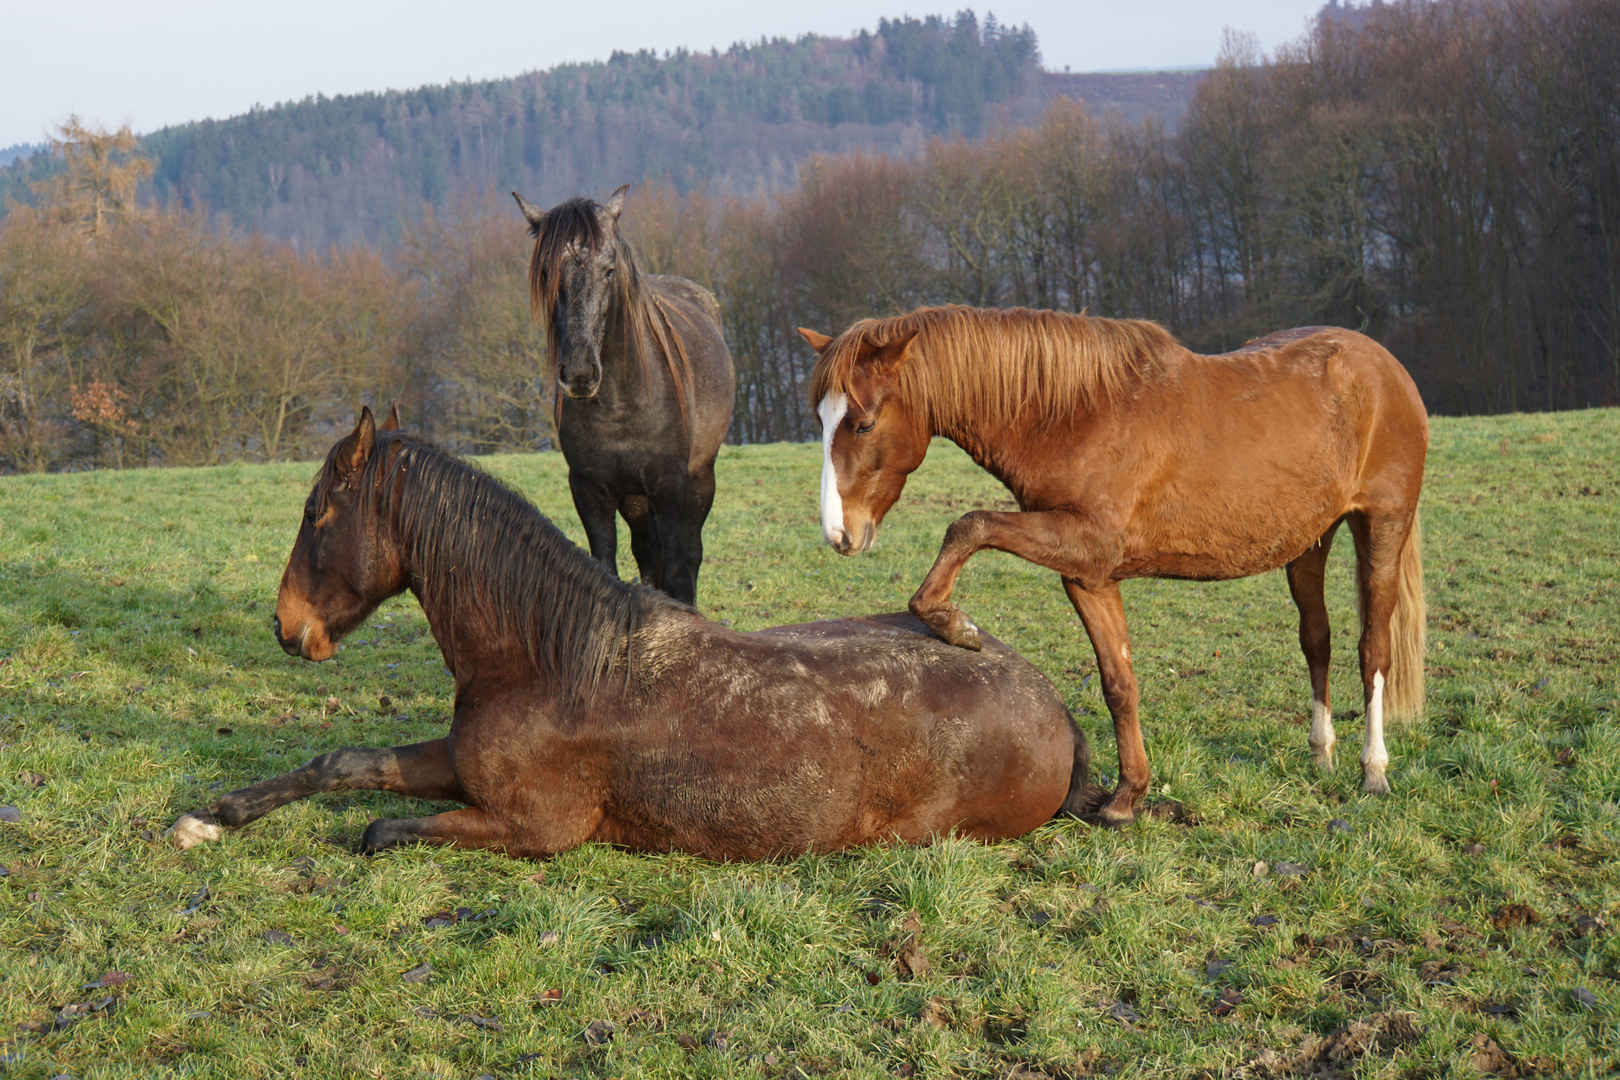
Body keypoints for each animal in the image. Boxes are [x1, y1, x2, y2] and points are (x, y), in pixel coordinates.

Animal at [167, 409, 1101, 854]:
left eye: (316, 513)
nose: (286, 625)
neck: (550, 663)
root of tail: (1053, 702)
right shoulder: (457, 762)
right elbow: (343, 763)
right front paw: (213, 818)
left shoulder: (536, 828)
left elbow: (374, 830)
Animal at [511, 187, 735, 608]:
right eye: (546, 273)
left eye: (609, 269)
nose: (579, 373)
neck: (622, 405)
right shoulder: (589, 487)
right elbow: (606, 565)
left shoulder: (671, 484)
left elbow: (681, 568)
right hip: (634, 497)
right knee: (648, 550)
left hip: (700, 478)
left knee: (687, 553)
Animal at [803, 306, 1425, 829]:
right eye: (821, 419)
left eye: (862, 424)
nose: (839, 533)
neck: (1076, 414)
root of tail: (1386, 367)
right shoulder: (1088, 573)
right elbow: (1119, 684)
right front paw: (1128, 797)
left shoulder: (1084, 543)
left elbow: (969, 525)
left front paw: (956, 626)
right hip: (1309, 542)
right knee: (1317, 640)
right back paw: (1322, 754)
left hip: (1382, 526)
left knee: (1373, 649)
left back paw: (1374, 770)